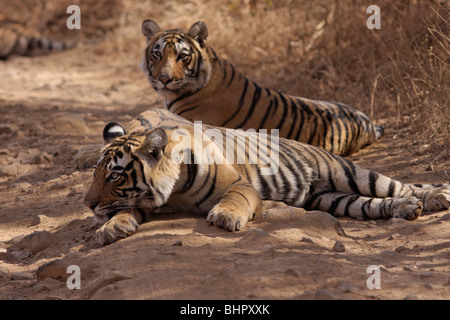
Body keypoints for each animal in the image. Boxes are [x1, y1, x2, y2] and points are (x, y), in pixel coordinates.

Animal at [84, 109, 450, 246]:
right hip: (332, 199)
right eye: (95, 174)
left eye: (115, 176)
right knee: (372, 204)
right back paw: (406, 209)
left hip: (352, 173)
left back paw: (435, 198)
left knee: (401, 185)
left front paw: (225, 217)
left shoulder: (240, 185)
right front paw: (110, 228)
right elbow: (125, 210)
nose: (87, 204)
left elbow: (235, 199)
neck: (172, 194)